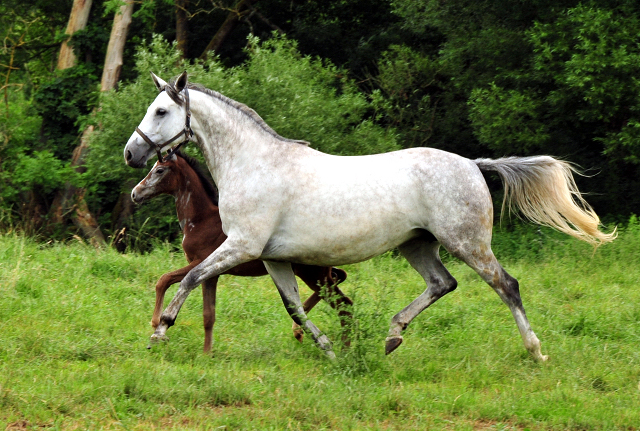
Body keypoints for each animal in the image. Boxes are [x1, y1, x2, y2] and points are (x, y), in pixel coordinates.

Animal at [129, 150, 350, 352]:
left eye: (159, 170)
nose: (135, 193)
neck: (200, 220)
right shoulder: (210, 274)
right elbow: (208, 315)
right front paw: (207, 355)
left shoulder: (200, 262)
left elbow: (164, 280)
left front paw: (156, 323)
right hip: (315, 273)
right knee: (339, 280)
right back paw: (302, 331)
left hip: (312, 273)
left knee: (343, 303)